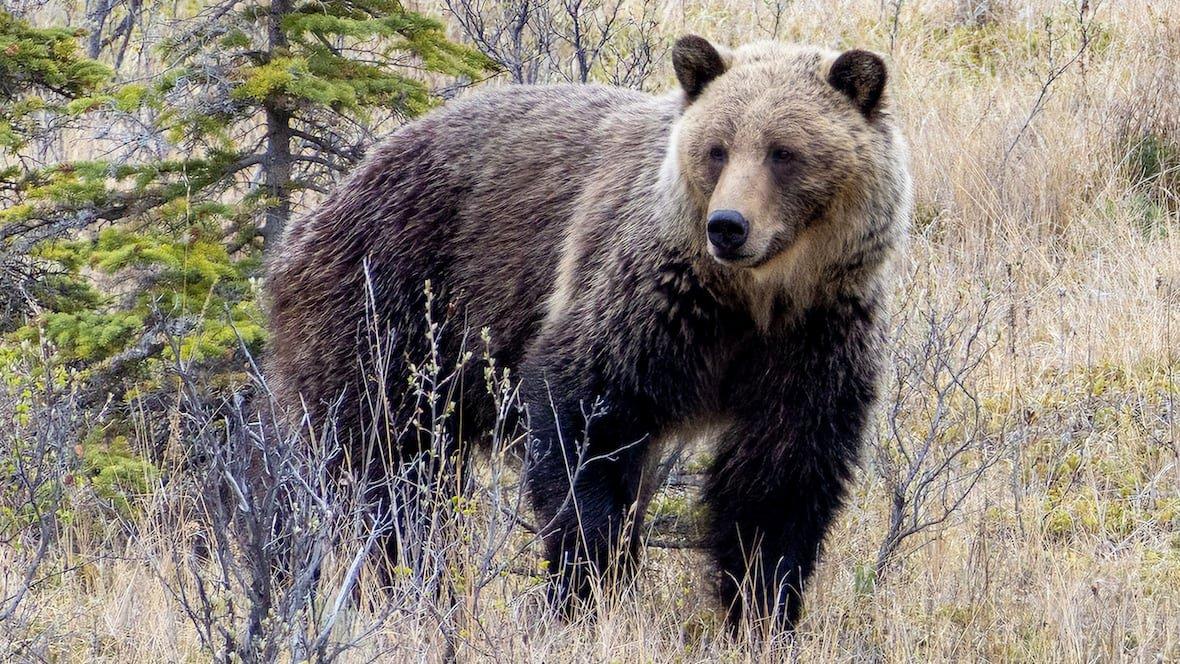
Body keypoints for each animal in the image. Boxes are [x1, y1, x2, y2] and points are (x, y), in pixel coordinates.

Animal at [265, 35, 911, 628]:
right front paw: (587, 588)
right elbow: (586, 424)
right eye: (717, 149)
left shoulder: (813, 338)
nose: (728, 226)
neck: (751, 300)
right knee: (392, 466)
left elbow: (779, 478)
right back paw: (414, 585)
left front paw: (762, 608)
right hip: (389, 310)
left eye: (783, 152)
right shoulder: (645, 302)